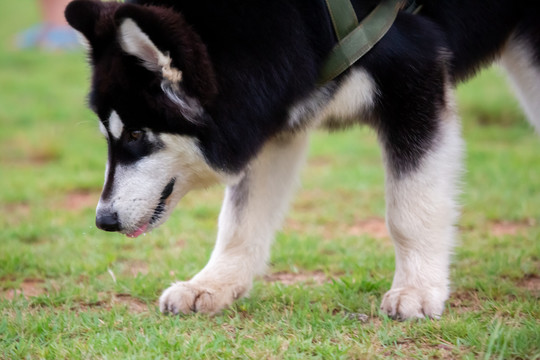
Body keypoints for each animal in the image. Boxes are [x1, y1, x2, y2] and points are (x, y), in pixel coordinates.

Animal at [64, 0, 540, 320]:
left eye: (136, 135)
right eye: (109, 136)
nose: (103, 220)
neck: (300, 22)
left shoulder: (413, 75)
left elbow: (408, 212)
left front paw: (417, 290)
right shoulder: (274, 117)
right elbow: (240, 220)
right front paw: (213, 284)